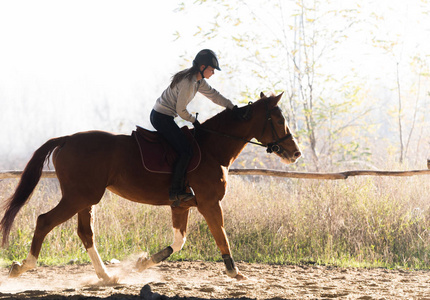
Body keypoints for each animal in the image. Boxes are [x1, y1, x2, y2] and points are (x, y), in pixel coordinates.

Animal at [0, 92, 300, 282]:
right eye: (278, 120)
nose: (295, 153)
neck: (213, 148)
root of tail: (67, 139)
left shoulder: (182, 205)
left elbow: (178, 242)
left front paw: (143, 263)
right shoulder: (209, 203)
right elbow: (221, 235)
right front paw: (233, 271)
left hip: (86, 199)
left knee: (85, 233)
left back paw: (106, 276)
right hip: (78, 197)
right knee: (44, 221)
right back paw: (23, 266)